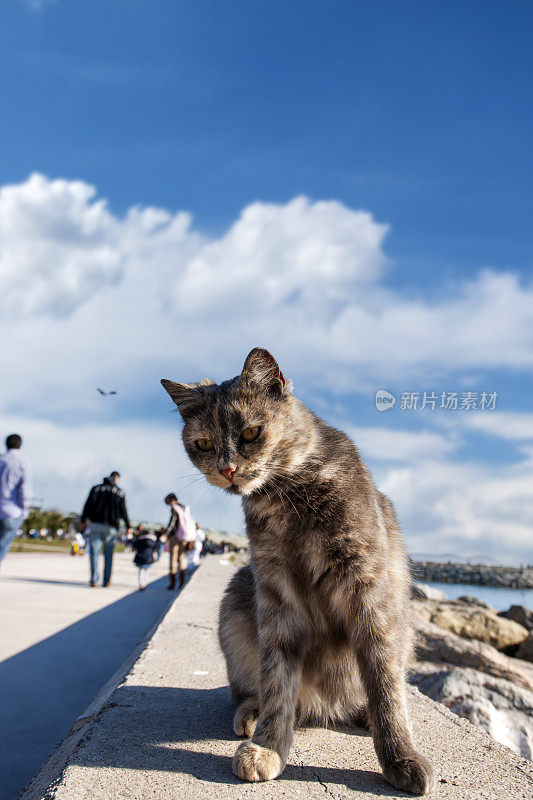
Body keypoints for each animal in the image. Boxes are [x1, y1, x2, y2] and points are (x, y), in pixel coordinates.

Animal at [160, 348, 434, 792]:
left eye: (251, 433)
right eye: (203, 443)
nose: (226, 469)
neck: (289, 496)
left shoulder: (369, 589)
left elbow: (384, 680)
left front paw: (400, 757)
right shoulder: (274, 591)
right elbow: (277, 677)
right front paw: (268, 746)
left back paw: (362, 712)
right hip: (237, 598)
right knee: (248, 690)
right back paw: (251, 715)